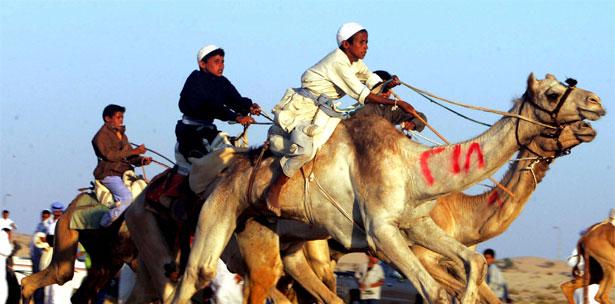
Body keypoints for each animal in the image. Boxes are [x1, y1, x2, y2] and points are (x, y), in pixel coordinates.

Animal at [172, 74, 608, 304]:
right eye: (553, 93)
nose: (596, 102)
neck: (414, 170)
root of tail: (222, 167)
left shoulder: (416, 224)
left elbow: (474, 263)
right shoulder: (381, 232)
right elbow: (435, 291)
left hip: (276, 230)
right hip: (223, 208)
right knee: (198, 272)